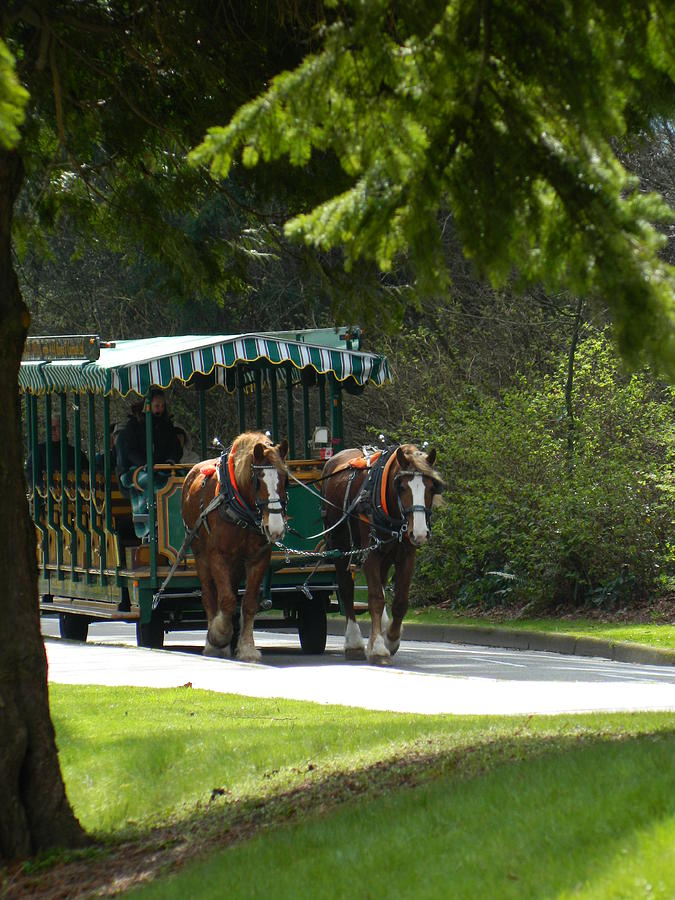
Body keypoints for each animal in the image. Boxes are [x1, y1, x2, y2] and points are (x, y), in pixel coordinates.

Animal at [184, 428, 290, 660]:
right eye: (257, 480)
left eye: (285, 479)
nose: (276, 528)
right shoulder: (218, 555)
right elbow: (227, 600)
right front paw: (218, 636)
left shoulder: (258, 558)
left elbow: (248, 603)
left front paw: (247, 647)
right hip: (201, 555)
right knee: (209, 595)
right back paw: (214, 640)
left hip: (236, 564)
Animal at [322, 446, 444, 664]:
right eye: (401, 487)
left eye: (431, 488)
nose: (420, 533)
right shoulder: (370, 554)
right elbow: (376, 599)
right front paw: (378, 647)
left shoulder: (407, 555)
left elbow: (400, 601)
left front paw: (391, 638)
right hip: (339, 547)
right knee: (346, 590)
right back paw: (353, 643)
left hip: (386, 555)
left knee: (381, 584)